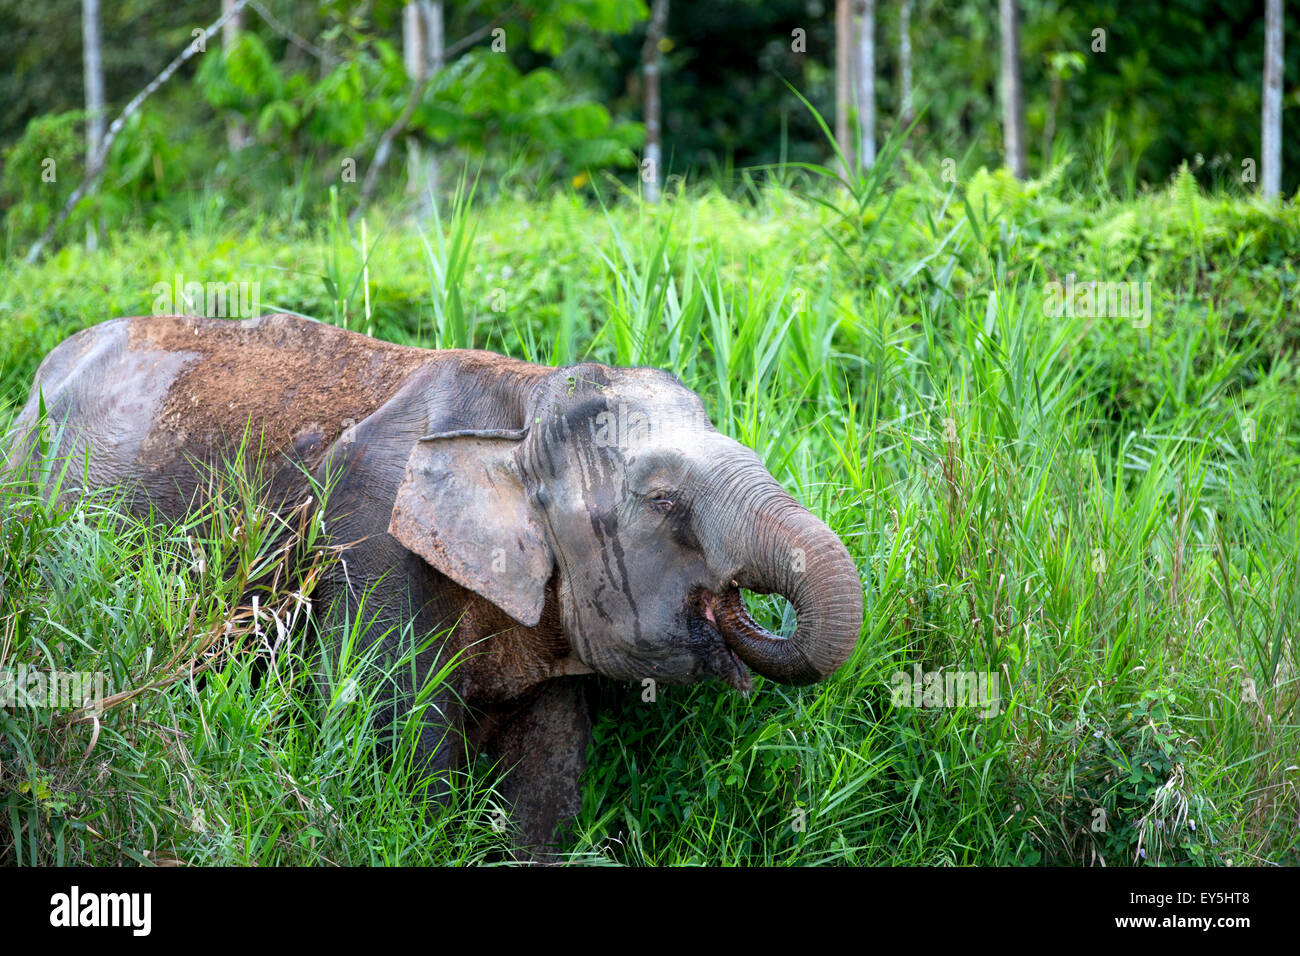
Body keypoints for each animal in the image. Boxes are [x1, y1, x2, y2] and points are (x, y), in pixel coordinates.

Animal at [4, 312, 863, 855]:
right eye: (662, 501)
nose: (740, 605)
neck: (525, 401)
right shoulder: (375, 542)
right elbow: (396, 734)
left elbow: (549, 766)